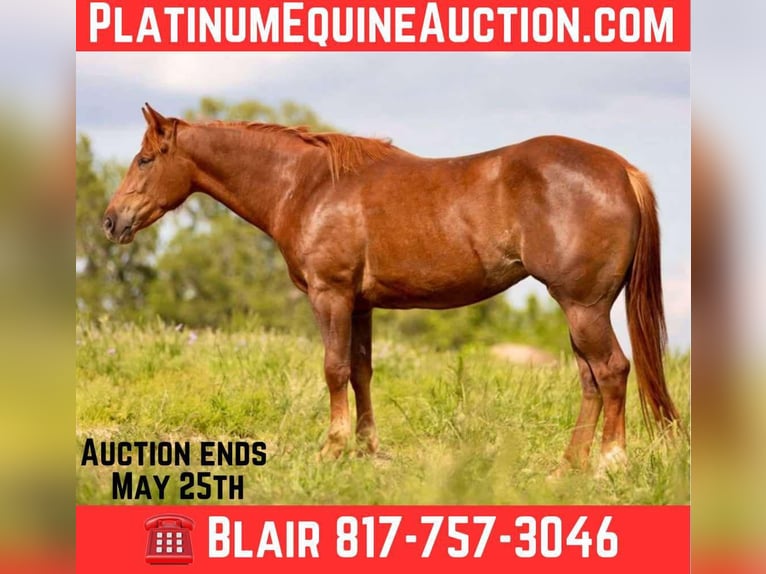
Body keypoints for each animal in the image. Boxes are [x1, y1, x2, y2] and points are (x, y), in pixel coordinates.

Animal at [103, 103, 681, 474]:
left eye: (145, 160)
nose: (112, 221)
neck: (309, 186)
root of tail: (621, 170)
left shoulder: (331, 296)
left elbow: (334, 369)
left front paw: (332, 450)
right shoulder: (360, 305)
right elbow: (361, 372)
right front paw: (366, 450)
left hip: (584, 306)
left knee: (612, 371)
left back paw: (609, 464)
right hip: (580, 309)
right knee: (591, 379)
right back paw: (567, 468)